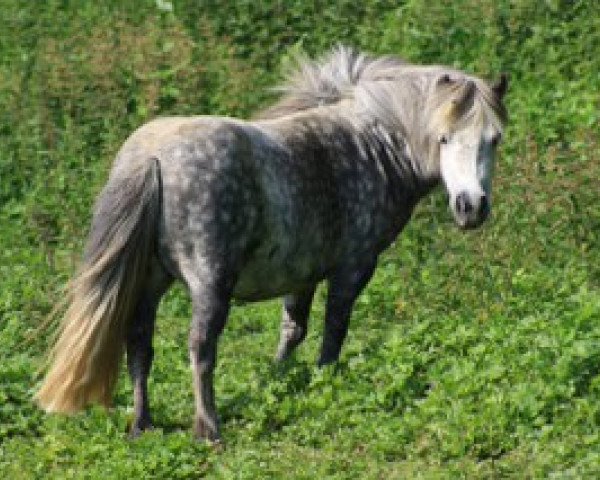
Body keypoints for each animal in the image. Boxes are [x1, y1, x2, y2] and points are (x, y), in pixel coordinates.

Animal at [35, 47, 508, 440]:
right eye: (444, 138)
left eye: (494, 139)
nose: (471, 207)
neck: (375, 147)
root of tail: (152, 159)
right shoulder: (353, 266)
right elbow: (333, 331)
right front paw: (323, 383)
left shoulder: (303, 273)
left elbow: (292, 330)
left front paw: (277, 381)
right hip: (210, 284)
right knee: (200, 348)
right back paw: (208, 428)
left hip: (150, 283)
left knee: (139, 342)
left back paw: (142, 424)